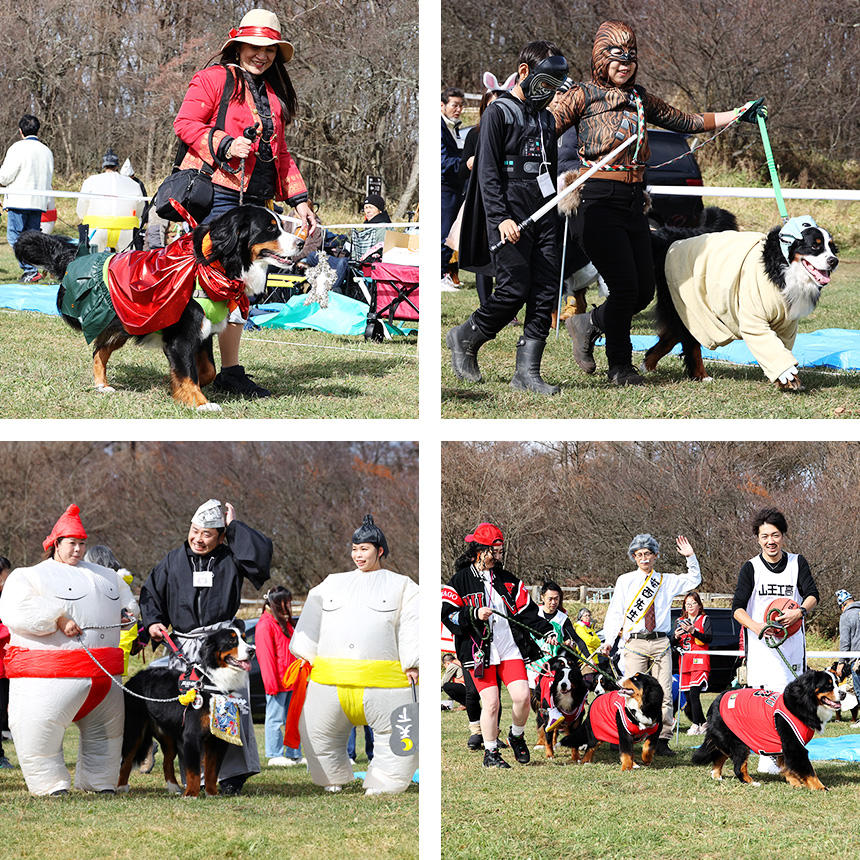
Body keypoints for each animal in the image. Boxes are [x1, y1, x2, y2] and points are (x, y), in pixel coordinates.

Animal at [13, 207, 304, 412]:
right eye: (270, 229)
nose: (301, 243)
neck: (213, 265)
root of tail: (79, 256)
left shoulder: (203, 333)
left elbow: (206, 371)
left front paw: (176, 387)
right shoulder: (181, 337)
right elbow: (189, 372)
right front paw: (200, 402)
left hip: (126, 326)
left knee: (99, 351)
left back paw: (101, 385)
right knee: (98, 349)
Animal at [117, 624, 254, 800]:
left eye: (244, 638)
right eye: (232, 641)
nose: (252, 650)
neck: (213, 682)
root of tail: (134, 678)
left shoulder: (217, 739)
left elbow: (212, 770)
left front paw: (211, 793)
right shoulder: (191, 735)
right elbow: (194, 771)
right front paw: (191, 794)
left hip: (169, 736)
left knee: (167, 762)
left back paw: (173, 787)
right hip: (135, 730)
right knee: (126, 760)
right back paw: (121, 787)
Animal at [644, 211, 840, 390]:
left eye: (831, 247)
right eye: (815, 246)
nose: (834, 261)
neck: (782, 267)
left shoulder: (786, 324)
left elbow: (780, 348)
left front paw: (784, 379)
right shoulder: (754, 318)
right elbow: (769, 346)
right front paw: (788, 376)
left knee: (670, 337)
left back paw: (647, 365)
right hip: (688, 305)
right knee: (690, 341)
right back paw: (701, 375)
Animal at [692, 668, 848, 788]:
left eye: (837, 682)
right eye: (828, 685)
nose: (844, 694)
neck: (803, 703)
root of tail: (715, 702)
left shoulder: (785, 745)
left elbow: (787, 766)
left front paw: (795, 783)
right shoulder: (794, 745)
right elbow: (808, 770)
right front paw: (820, 787)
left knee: (719, 755)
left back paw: (716, 775)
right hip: (739, 743)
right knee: (738, 767)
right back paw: (752, 783)